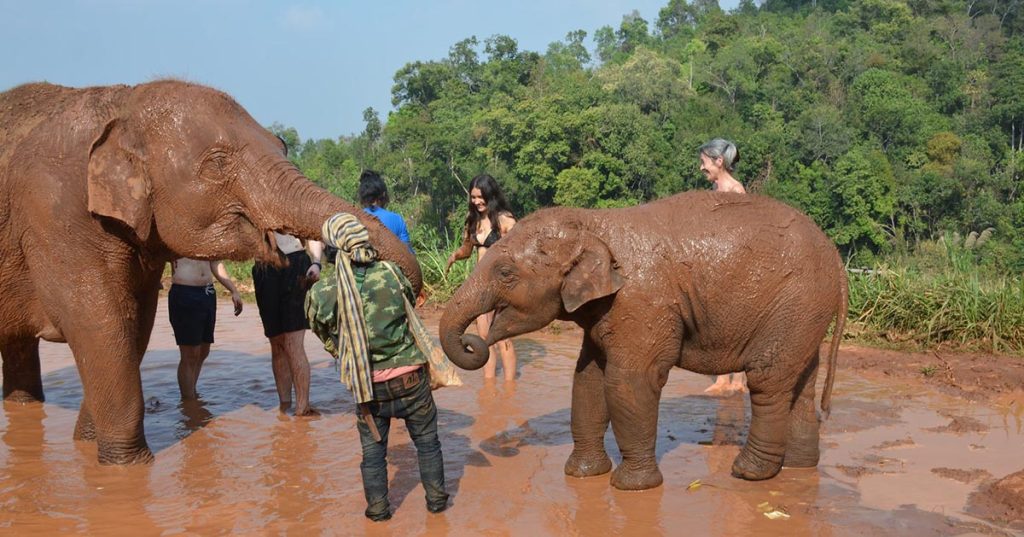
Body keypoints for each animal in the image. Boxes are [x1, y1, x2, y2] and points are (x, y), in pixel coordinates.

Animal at [0, 81, 421, 464]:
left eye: (282, 146)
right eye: (218, 162)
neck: (121, 103)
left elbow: (134, 326)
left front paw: (87, 445)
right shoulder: (54, 216)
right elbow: (99, 324)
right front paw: (127, 468)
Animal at [439, 191, 846, 490]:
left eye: (505, 273)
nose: (476, 341)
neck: (594, 224)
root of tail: (838, 260)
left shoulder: (641, 301)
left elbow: (630, 381)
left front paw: (631, 487)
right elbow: (587, 379)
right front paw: (581, 474)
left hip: (796, 301)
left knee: (767, 379)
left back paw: (749, 473)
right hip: (804, 314)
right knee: (800, 383)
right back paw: (797, 466)